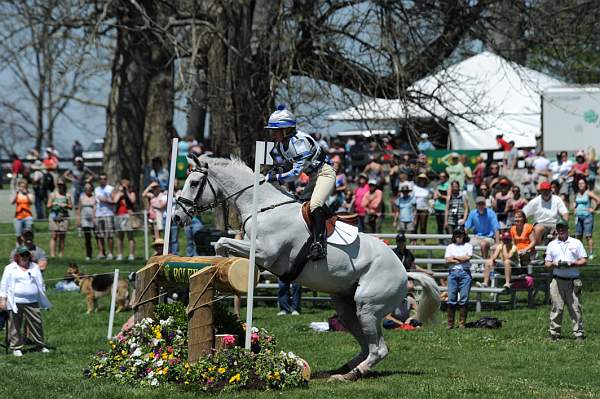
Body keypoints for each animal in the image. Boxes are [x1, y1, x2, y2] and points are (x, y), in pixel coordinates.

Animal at [173, 155, 440, 382]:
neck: (264, 208)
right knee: (366, 346)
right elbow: (222, 244)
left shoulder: (265, 254)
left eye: (194, 183)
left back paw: (349, 375)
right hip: (346, 307)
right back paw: (341, 369)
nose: (176, 217)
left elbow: (222, 241)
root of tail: (405, 272)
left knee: (378, 350)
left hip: (368, 307)